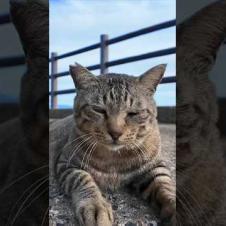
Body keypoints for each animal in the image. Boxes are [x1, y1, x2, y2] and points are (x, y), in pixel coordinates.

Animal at [52, 63, 176, 226]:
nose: (115, 133)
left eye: (133, 113)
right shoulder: (66, 162)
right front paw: (95, 205)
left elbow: (164, 184)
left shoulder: (155, 165)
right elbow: (83, 179)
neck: (114, 159)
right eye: (98, 110)